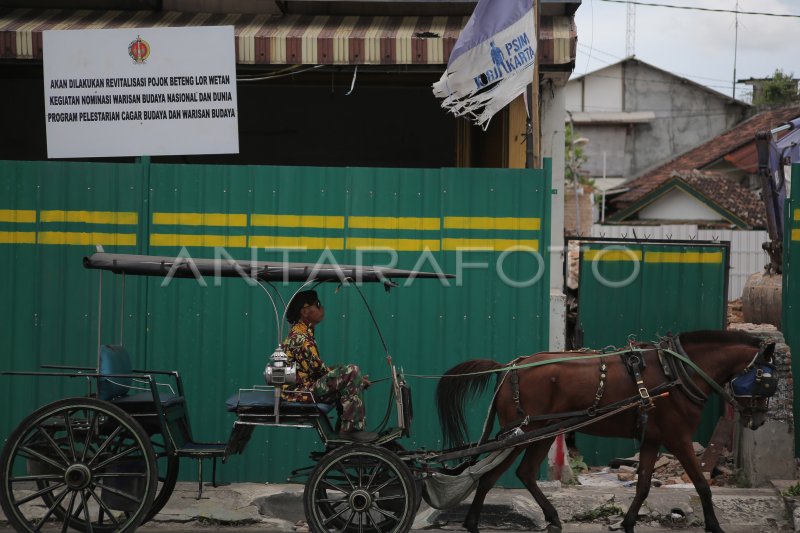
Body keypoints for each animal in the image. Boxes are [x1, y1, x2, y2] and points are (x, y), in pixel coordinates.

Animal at [434, 330, 780, 532]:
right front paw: (715, 526)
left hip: (539, 434)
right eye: (765, 379)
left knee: (525, 473)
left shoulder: (653, 437)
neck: (677, 371)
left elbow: (643, 486)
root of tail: (510, 367)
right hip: (522, 433)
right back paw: (473, 523)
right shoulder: (678, 438)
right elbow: (702, 485)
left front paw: (627, 523)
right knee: (489, 477)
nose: (759, 420)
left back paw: (552, 518)